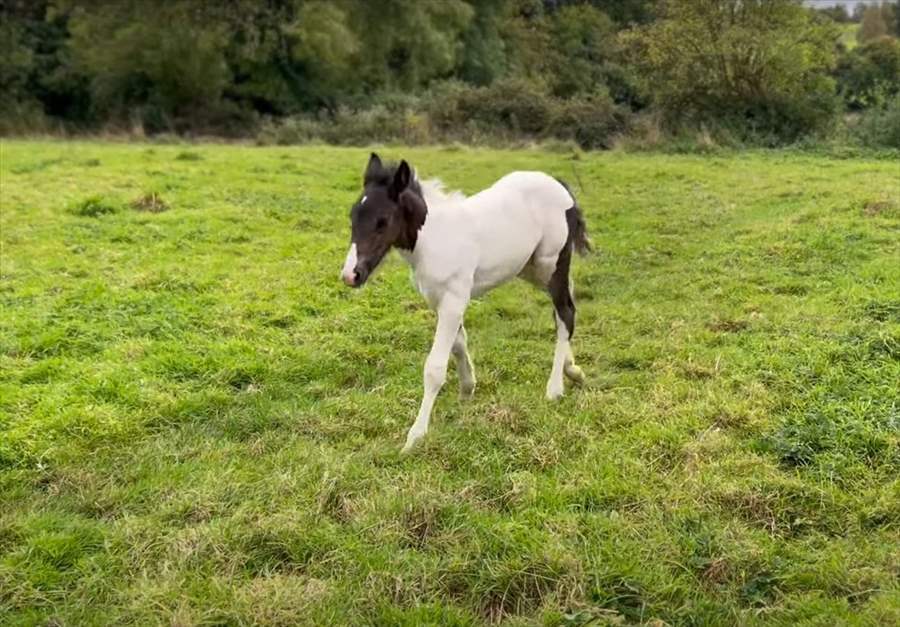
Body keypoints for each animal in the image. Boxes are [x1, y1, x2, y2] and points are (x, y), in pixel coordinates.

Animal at [340, 155, 592, 454]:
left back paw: (554, 388)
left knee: (566, 311)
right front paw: (467, 389)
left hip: (550, 262)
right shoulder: (440, 300)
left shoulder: (453, 299)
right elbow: (459, 343)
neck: (434, 238)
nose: (351, 275)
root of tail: (559, 185)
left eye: (382, 221)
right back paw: (573, 370)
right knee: (563, 305)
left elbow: (435, 367)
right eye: (353, 217)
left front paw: (415, 437)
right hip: (529, 269)